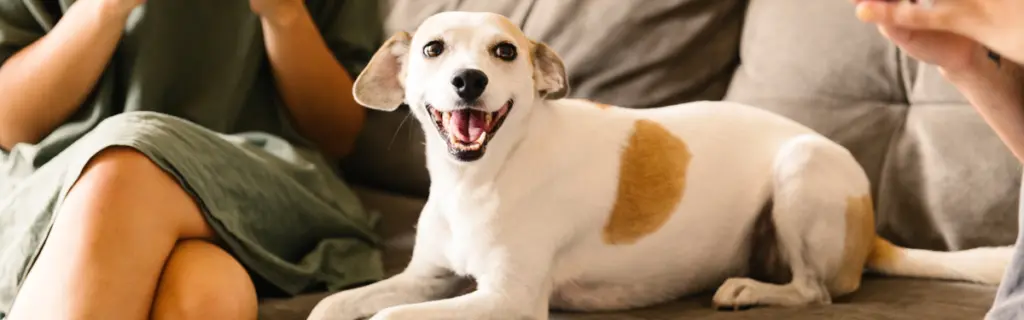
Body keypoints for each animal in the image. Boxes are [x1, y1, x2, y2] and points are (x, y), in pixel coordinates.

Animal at [307, 11, 1011, 320]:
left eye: (504, 51)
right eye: (434, 49)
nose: (468, 82)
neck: (481, 176)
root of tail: (871, 236)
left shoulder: (509, 299)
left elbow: (389, 318)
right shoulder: (426, 277)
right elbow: (335, 306)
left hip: (801, 171)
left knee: (814, 290)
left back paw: (750, 290)